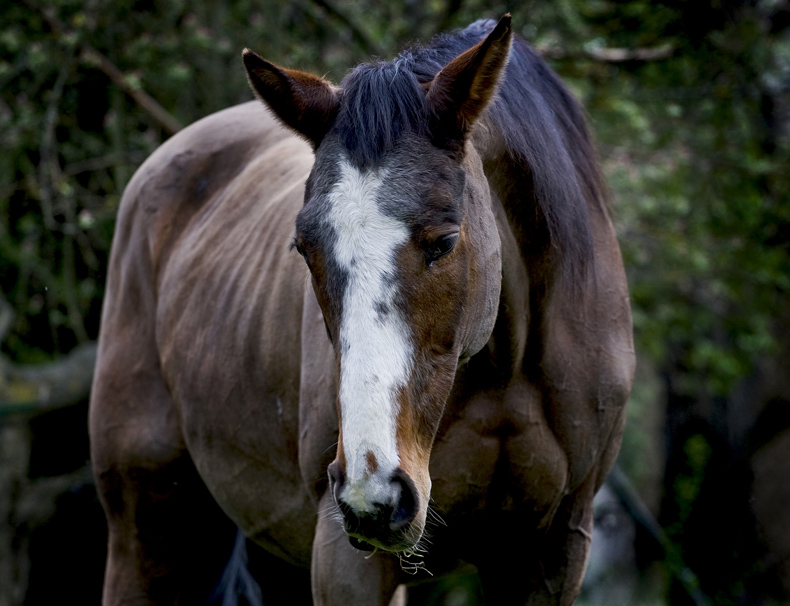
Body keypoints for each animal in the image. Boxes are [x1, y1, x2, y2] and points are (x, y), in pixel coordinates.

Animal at [89, 15, 636, 606]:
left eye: (444, 242)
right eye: (305, 248)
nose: (374, 491)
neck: (504, 371)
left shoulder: (552, 550)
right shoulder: (344, 555)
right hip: (145, 531)